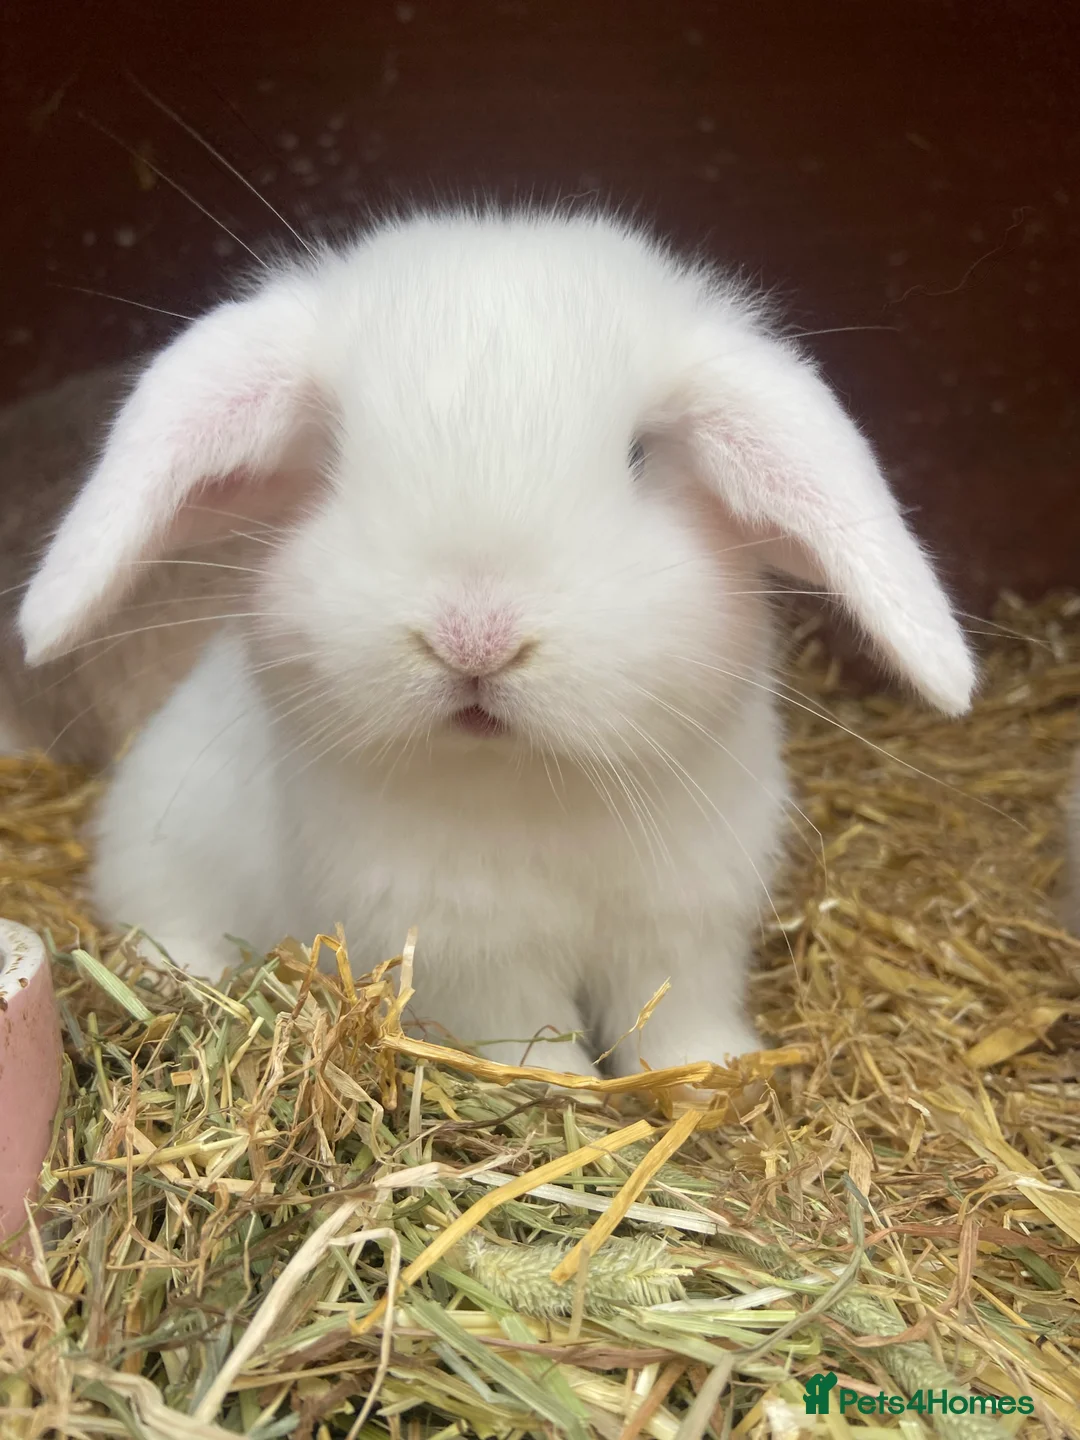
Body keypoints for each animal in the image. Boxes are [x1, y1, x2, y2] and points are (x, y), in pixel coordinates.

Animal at [14, 207, 976, 1076]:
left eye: (640, 456)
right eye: (334, 460)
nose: (474, 638)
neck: (534, 781)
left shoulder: (688, 920)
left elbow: (675, 1016)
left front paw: (716, 1073)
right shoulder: (466, 957)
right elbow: (528, 1040)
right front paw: (564, 1089)